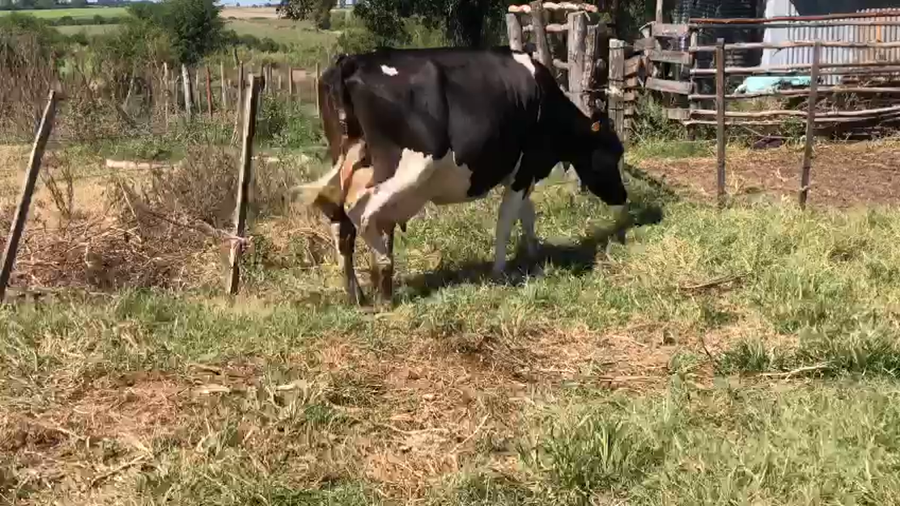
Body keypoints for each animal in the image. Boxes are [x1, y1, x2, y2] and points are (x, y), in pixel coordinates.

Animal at [296, 46, 630, 306]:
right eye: (611, 154)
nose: (623, 196)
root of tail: (352, 61)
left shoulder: (523, 174)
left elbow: (527, 214)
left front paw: (534, 254)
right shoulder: (524, 170)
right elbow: (506, 220)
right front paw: (500, 271)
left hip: (348, 161)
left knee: (340, 220)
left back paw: (357, 295)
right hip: (407, 167)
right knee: (361, 210)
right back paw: (383, 276)